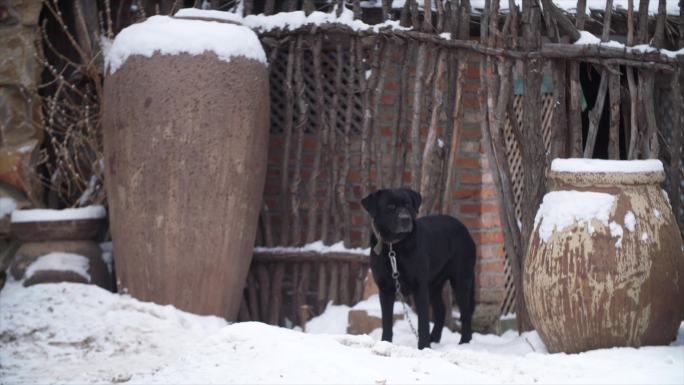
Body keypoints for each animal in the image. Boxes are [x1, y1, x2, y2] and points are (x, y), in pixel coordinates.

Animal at [364, 188, 476, 350]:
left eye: (408, 205)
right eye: (390, 206)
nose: (405, 219)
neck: (394, 247)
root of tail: (464, 228)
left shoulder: (420, 287)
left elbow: (422, 321)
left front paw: (423, 347)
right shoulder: (385, 289)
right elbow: (387, 321)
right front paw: (385, 343)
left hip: (461, 279)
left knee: (465, 312)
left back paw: (464, 343)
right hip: (435, 284)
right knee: (441, 310)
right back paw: (434, 339)